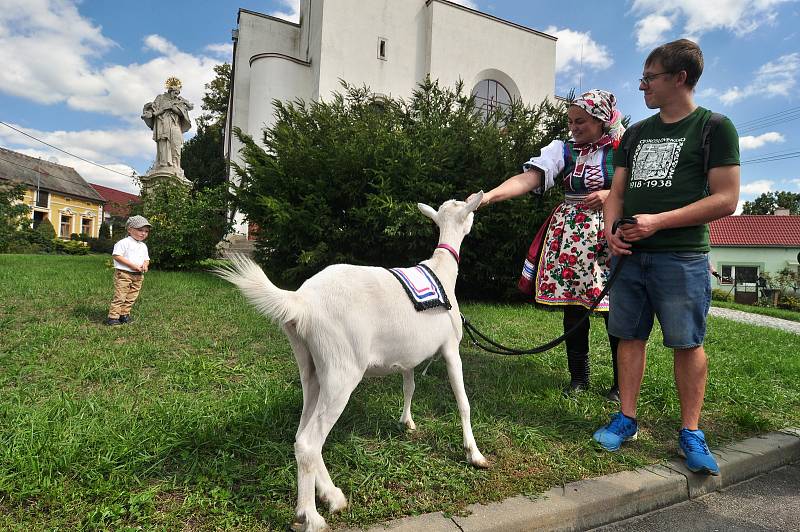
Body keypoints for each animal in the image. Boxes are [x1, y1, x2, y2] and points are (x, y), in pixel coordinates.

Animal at [214, 192, 488, 532]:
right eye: (466, 209)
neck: (443, 272)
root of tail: (301, 302)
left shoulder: (408, 357)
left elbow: (409, 387)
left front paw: (407, 422)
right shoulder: (451, 348)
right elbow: (463, 402)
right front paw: (474, 455)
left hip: (312, 369)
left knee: (301, 435)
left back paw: (331, 496)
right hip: (342, 370)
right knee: (309, 442)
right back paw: (311, 515)